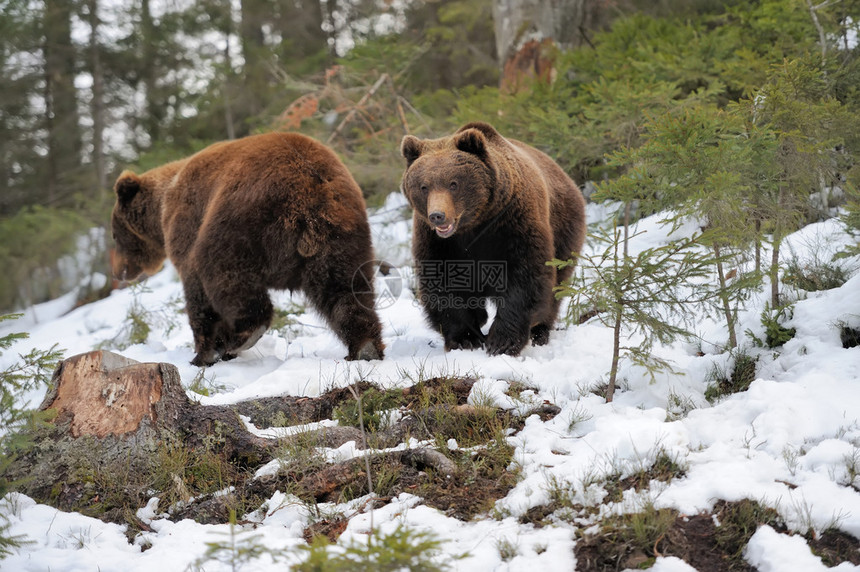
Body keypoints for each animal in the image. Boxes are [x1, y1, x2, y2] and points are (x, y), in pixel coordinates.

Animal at [111, 132, 386, 366]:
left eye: (115, 236)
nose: (118, 272)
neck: (161, 209)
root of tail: (310, 188)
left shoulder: (186, 223)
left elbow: (197, 291)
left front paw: (204, 353)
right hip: (341, 235)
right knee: (345, 290)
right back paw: (365, 347)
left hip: (242, 218)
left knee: (223, 272)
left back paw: (243, 336)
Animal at [400, 121, 588, 356]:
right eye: (423, 186)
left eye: (453, 183)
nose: (437, 215)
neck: (475, 223)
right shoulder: (438, 241)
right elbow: (443, 283)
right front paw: (465, 339)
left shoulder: (513, 224)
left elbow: (525, 276)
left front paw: (502, 342)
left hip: (564, 227)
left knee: (556, 286)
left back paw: (540, 332)